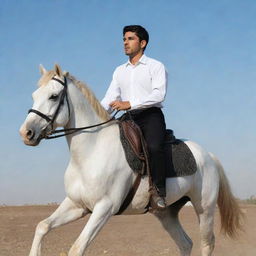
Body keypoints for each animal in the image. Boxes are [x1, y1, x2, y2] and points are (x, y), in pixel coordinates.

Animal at [19, 64, 242, 256]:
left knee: (207, 244)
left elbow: (76, 248)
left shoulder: (104, 208)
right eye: (34, 95)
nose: (26, 133)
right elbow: (42, 226)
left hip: (205, 209)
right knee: (186, 243)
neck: (91, 151)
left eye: (53, 96)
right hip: (166, 214)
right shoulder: (77, 205)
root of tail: (208, 155)